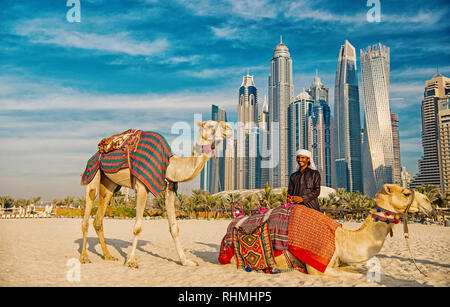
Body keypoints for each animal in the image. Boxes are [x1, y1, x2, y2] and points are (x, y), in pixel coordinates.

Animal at [80, 121, 232, 270]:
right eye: (210, 125)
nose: (229, 128)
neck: (171, 167)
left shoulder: (170, 189)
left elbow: (174, 228)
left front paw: (186, 261)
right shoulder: (142, 187)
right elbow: (138, 228)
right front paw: (131, 261)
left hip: (110, 183)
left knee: (99, 215)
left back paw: (108, 256)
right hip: (93, 171)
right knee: (90, 202)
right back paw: (84, 257)